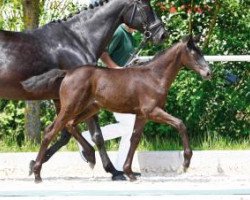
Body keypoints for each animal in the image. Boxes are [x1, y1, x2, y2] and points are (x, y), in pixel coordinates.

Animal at [23, 34, 211, 181]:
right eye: (195, 54)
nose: (209, 73)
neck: (154, 76)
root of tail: (67, 73)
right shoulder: (152, 111)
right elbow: (180, 124)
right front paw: (186, 162)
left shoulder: (142, 115)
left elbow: (134, 139)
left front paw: (129, 172)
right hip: (71, 107)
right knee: (50, 131)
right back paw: (37, 173)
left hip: (90, 108)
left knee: (70, 125)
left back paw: (90, 156)